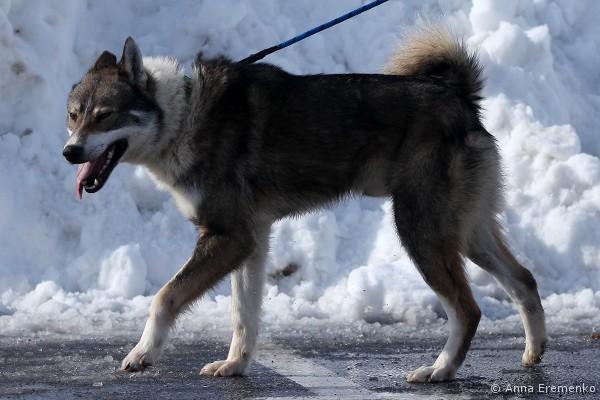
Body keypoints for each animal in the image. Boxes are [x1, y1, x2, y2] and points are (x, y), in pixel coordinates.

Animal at [63, 26, 547, 382]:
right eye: (73, 114)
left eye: (105, 115)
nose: (70, 152)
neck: (181, 116)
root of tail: (459, 98)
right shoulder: (251, 242)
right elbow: (244, 316)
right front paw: (235, 364)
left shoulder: (227, 237)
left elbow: (164, 297)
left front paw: (142, 353)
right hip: (467, 234)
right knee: (524, 280)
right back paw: (533, 351)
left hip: (421, 232)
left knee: (468, 309)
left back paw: (440, 370)